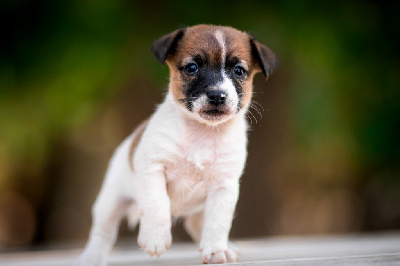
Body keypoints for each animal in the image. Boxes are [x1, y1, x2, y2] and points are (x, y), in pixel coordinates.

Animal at [77, 24, 278, 264]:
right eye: (192, 68)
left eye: (239, 71)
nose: (217, 95)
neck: (202, 132)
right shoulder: (153, 170)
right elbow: (157, 203)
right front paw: (155, 238)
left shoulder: (224, 186)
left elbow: (218, 222)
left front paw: (216, 249)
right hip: (110, 202)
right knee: (102, 233)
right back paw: (92, 257)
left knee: (197, 225)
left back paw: (224, 247)